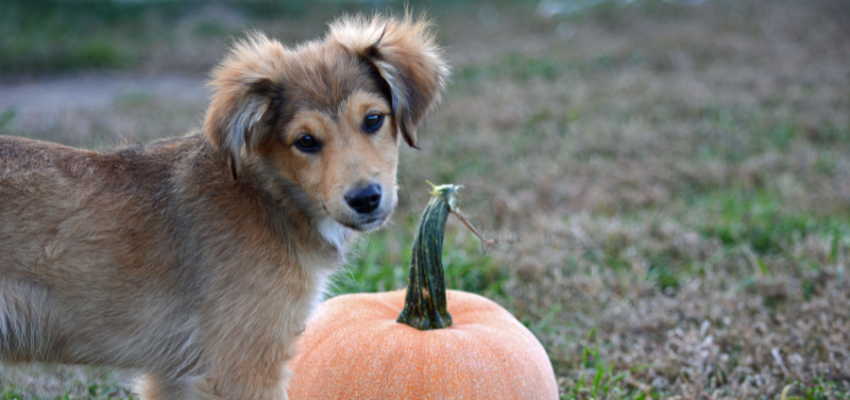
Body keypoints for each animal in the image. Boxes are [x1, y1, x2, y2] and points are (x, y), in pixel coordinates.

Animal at [0, 14, 448, 400]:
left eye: (373, 120)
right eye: (305, 141)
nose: (366, 198)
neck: (268, 197)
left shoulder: (174, 375)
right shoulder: (243, 368)